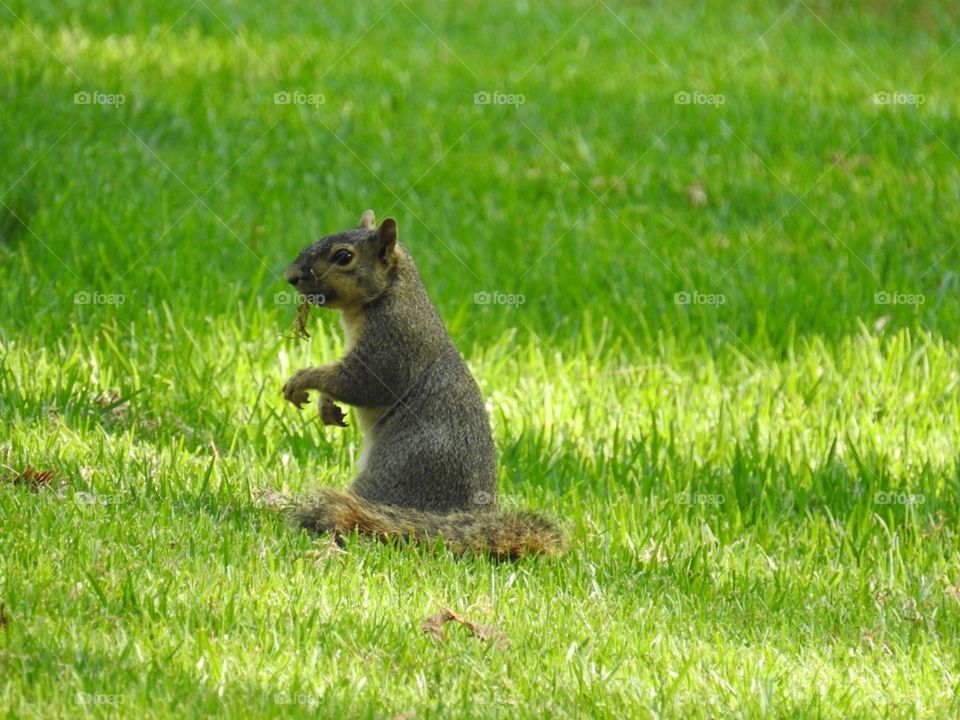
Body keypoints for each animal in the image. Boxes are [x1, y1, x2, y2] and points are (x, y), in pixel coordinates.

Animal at [280, 210, 564, 559]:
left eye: (343, 257)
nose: (291, 276)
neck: (390, 293)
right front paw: (327, 407)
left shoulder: (393, 342)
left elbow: (361, 384)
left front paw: (303, 379)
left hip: (400, 471)